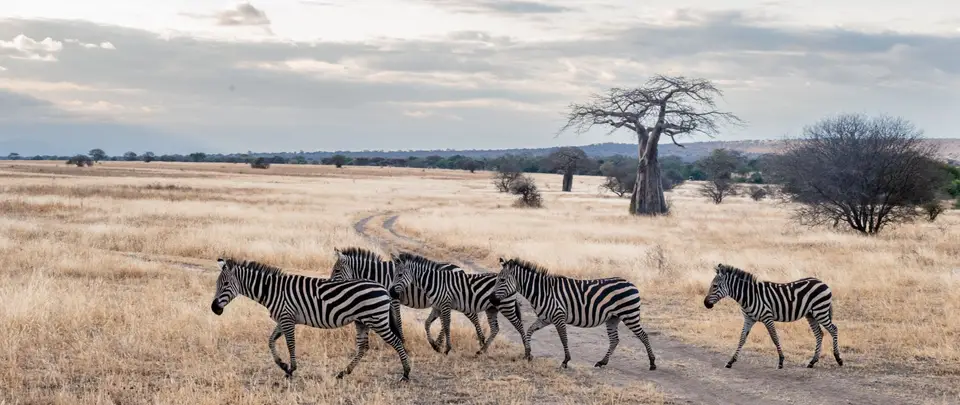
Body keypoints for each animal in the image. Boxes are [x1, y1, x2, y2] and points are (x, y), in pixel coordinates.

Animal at [209, 257, 411, 381]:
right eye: (217, 284)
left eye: (225, 284)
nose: (214, 309)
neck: (271, 290)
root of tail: (383, 288)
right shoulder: (283, 319)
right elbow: (270, 341)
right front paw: (283, 365)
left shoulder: (287, 318)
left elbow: (290, 344)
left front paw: (291, 369)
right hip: (362, 321)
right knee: (363, 347)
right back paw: (343, 373)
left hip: (377, 320)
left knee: (396, 341)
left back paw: (406, 373)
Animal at [330, 247, 491, 353]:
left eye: (336, 270)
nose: (329, 284)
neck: (379, 274)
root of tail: (460, 269)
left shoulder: (393, 299)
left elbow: (397, 320)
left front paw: (402, 341)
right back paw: (439, 343)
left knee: (472, 316)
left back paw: (481, 341)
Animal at [386, 251, 529, 356]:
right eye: (394, 275)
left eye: (399, 275)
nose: (391, 292)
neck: (434, 282)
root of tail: (513, 281)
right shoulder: (437, 307)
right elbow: (427, 323)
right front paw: (434, 345)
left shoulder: (445, 304)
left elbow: (446, 326)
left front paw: (446, 349)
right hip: (492, 308)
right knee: (495, 329)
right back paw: (482, 350)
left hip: (506, 306)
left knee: (519, 325)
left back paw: (527, 352)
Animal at [491, 257, 657, 370]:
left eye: (502, 280)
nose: (492, 299)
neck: (542, 292)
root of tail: (632, 284)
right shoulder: (545, 318)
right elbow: (529, 331)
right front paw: (527, 354)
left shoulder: (558, 316)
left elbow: (564, 339)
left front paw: (565, 361)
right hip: (613, 318)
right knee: (615, 340)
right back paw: (602, 362)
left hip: (629, 315)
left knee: (643, 335)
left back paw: (652, 363)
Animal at [703, 263, 843, 369]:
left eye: (714, 286)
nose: (705, 304)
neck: (749, 296)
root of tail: (822, 282)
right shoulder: (749, 319)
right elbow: (742, 338)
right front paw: (731, 361)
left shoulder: (767, 317)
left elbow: (774, 337)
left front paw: (781, 361)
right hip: (811, 314)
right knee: (819, 334)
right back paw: (812, 361)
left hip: (820, 311)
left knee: (834, 329)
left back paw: (838, 359)